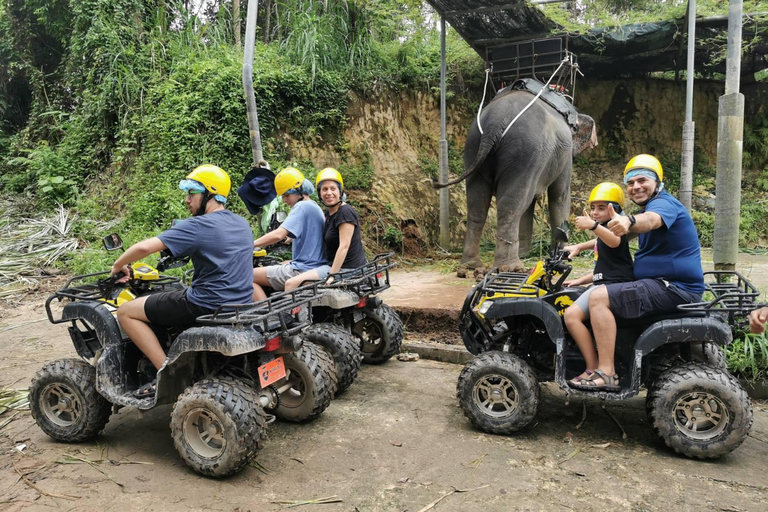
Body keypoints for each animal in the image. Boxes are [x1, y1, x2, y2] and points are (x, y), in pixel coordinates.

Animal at [436, 90, 596, 278]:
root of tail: (496, 120)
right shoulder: (565, 154)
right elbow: (560, 195)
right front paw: (564, 253)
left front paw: (526, 253)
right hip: (524, 151)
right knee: (511, 204)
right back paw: (511, 267)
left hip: (473, 147)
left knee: (478, 204)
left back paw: (470, 267)